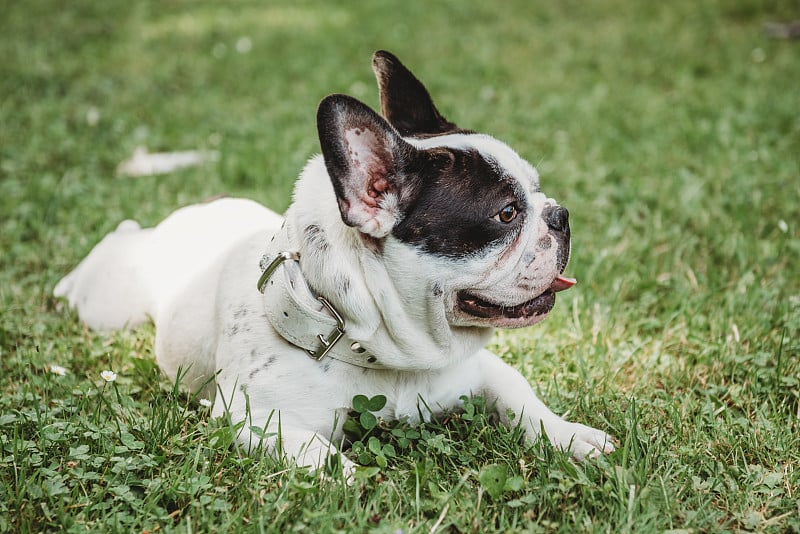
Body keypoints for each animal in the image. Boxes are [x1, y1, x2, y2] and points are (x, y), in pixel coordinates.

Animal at [54, 50, 612, 478]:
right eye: (507, 214)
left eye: (537, 192)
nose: (560, 215)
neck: (383, 353)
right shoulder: (254, 418)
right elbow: (313, 449)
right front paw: (350, 480)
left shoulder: (480, 370)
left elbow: (522, 398)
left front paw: (571, 436)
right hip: (111, 308)